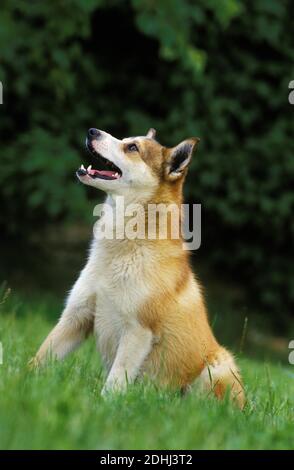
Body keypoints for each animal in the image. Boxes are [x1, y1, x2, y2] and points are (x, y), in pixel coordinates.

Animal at [31, 126, 245, 408]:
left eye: (132, 148)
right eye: (125, 140)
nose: (92, 131)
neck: (124, 247)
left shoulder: (138, 331)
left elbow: (115, 381)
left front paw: (104, 407)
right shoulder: (76, 317)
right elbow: (42, 355)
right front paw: (22, 378)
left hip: (219, 367)